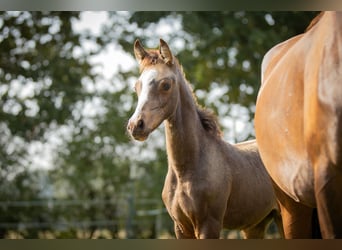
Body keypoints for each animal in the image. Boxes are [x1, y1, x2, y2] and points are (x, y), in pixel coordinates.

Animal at [127, 39, 282, 238]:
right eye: (137, 86)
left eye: (166, 85)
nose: (135, 125)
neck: (186, 170)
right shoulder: (180, 228)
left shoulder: (209, 225)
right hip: (255, 225)